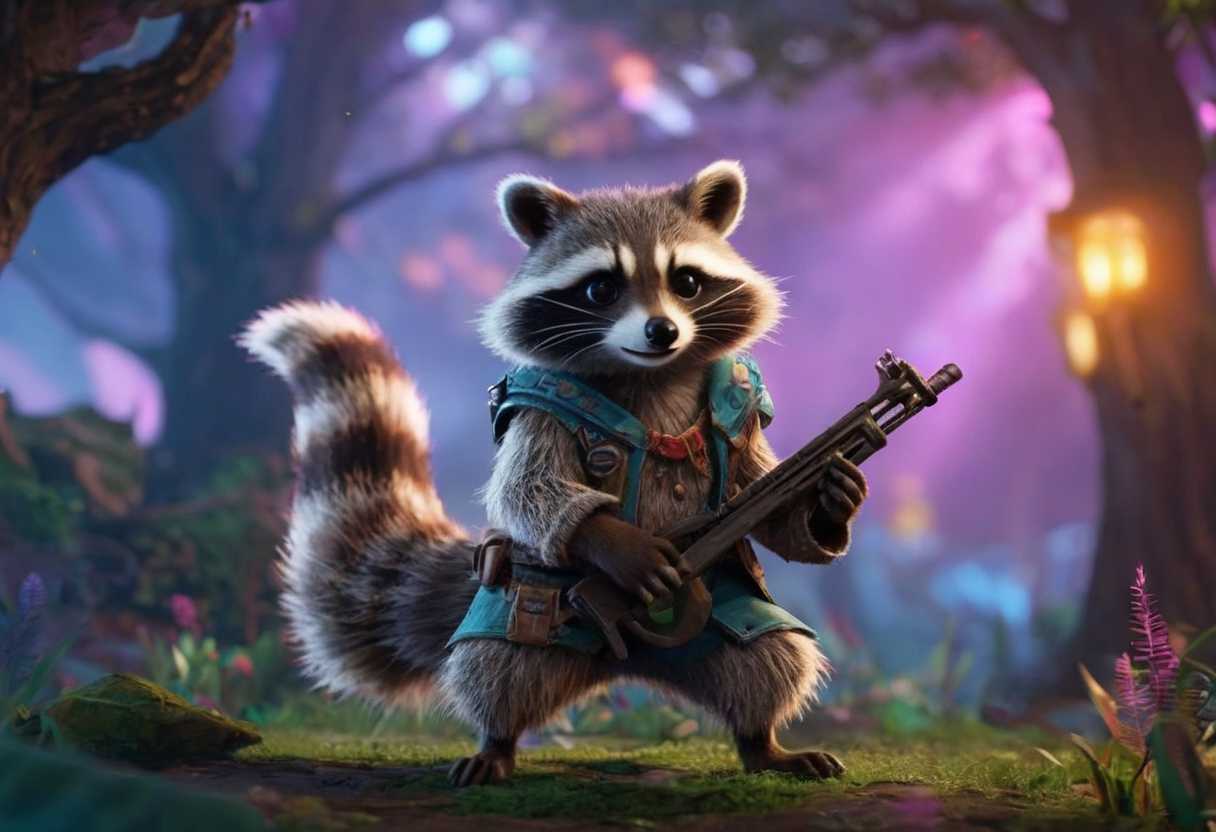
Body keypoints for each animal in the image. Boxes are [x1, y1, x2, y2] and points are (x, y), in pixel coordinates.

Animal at [241, 160, 867, 788]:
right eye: (601, 288)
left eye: (687, 282)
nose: (662, 331)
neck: (652, 375)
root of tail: (627, 663)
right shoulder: (538, 405)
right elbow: (526, 490)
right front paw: (620, 544)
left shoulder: (742, 413)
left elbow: (759, 494)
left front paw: (830, 501)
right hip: (523, 608)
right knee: (498, 665)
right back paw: (496, 741)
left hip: (721, 605)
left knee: (771, 654)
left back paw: (762, 741)